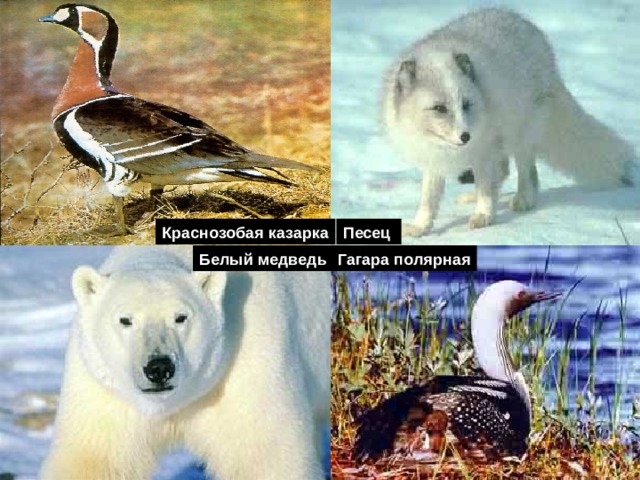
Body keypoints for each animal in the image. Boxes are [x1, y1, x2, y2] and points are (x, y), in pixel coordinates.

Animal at [40, 246, 330, 480]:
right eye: (125, 320)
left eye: (180, 317)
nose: (159, 368)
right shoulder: (103, 389)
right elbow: (95, 459)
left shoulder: (247, 361)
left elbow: (265, 459)